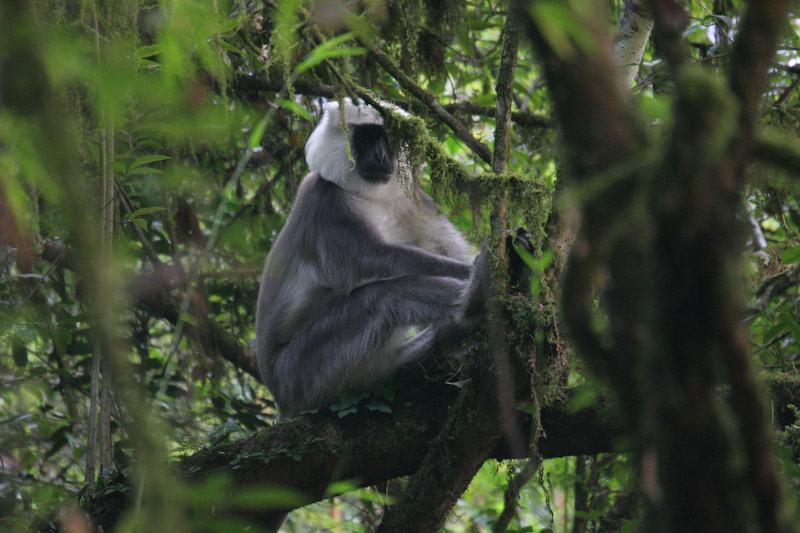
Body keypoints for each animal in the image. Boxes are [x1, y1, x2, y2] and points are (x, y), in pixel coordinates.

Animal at [256, 97, 484, 418]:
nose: (380, 156)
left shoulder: (412, 198)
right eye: (365, 138)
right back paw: (477, 298)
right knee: (385, 295)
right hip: (303, 371)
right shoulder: (325, 200)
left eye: (388, 139)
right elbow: (359, 264)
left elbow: (446, 248)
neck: (369, 196)